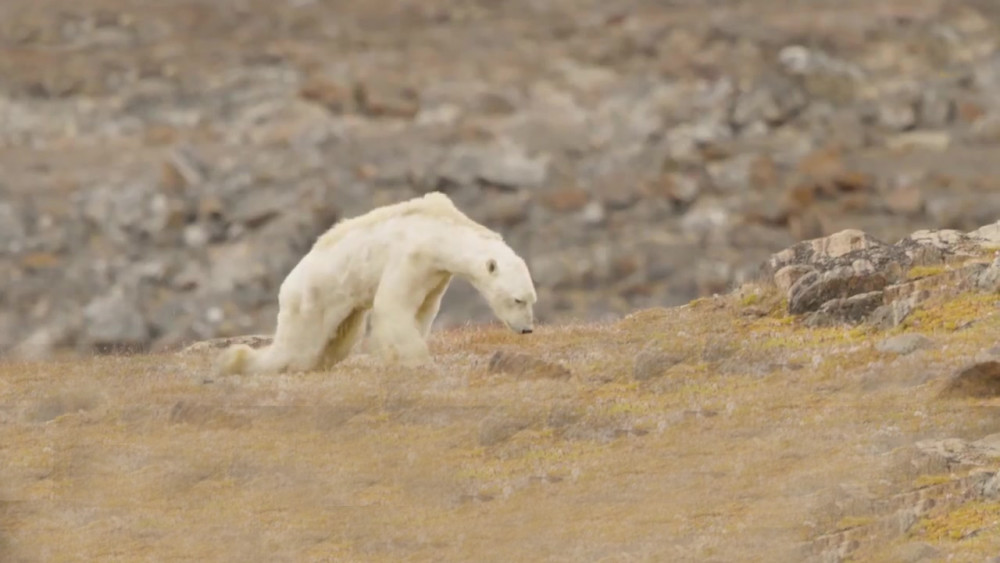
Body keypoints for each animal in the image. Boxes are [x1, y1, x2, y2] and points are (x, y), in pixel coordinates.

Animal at [213, 192, 540, 376]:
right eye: (518, 299)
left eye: (531, 299)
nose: (527, 329)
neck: (439, 230)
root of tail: (287, 286)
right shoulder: (411, 256)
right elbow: (392, 305)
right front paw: (417, 361)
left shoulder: (435, 274)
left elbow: (423, 309)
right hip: (312, 298)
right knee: (297, 347)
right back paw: (238, 361)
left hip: (342, 309)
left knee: (337, 341)